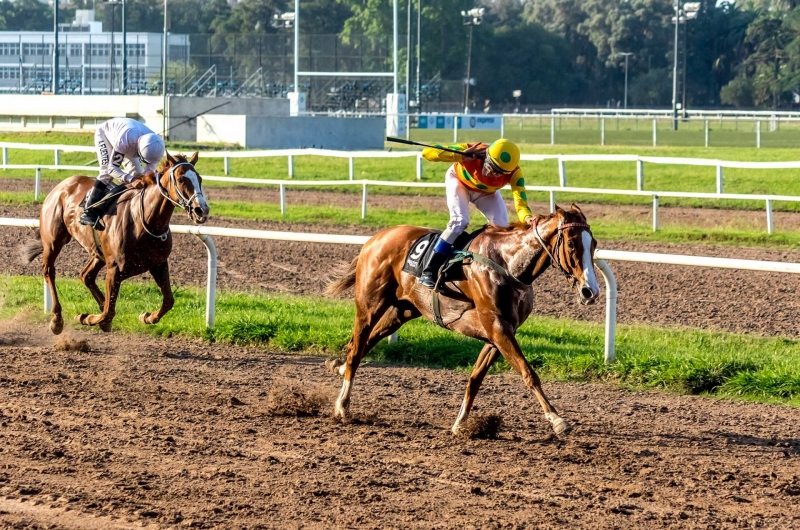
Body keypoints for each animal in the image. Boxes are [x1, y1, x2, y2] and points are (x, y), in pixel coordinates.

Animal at [21, 153, 209, 334]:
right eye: (181, 179)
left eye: (200, 179)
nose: (202, 210)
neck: (145, 221)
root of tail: (62, 185)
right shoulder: (115, 269)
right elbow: (108, 311)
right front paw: (86, 317)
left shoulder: (158, 264)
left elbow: (169, 300)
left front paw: (147, 316)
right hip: (53, 241)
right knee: (49, 271)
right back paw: (57, 319)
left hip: (98, 251)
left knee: (86, 275)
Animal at [326, 204, 600, 436]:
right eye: (572, 244)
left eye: (594, 244)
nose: (591, 292)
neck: (508, 264)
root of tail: (375, 238)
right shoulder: (498, 328)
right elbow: (528, 373)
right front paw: (557, 419)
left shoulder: (498, 333)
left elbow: (475, 378)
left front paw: (460, 423)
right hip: (369, 305)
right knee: (357, 346)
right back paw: (341, 405)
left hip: (402, 310)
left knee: (362, 344)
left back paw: (338, 367)